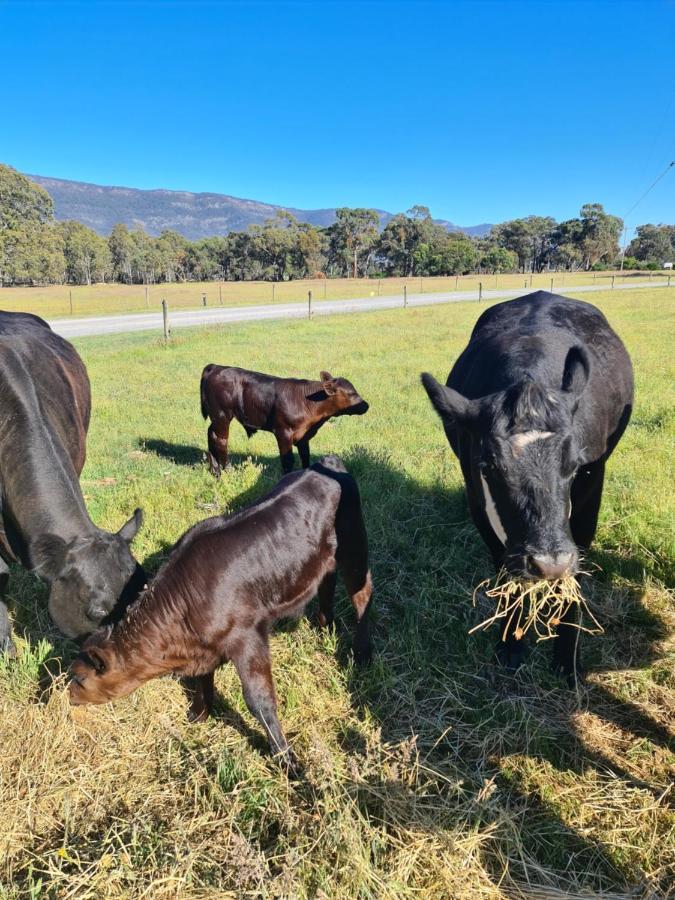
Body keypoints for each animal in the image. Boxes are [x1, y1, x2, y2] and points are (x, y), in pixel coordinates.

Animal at [68, 458, 372, 772]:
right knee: (326, 582)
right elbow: (204, 679)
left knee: (362, 594)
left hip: (354, 547)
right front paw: (200, 714)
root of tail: (325, 462)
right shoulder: (204, 647)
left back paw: (362, 653)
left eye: (79, 678)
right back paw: (325, 628)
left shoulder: (247, 637)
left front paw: (285, 759)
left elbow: (259, 700)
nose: (68, 697)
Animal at [201, 366, 370, 478]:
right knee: (221, 440)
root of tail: (215, 367)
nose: (366, 405)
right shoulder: (283, 433)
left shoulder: (304, 436)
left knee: (210, 434)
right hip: (222, 415)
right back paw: (228, 472)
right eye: (351, 393)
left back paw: (215, 471)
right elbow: (288, 460)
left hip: (216, 417)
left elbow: (305, 456)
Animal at [422, 292, 632, 680]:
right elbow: (506, 571)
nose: (549, 563)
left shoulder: (590, 493)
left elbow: (577, 575)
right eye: (489, 466)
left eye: (575, 465)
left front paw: (566, 659)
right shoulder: (477, 499)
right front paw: (510, 643)